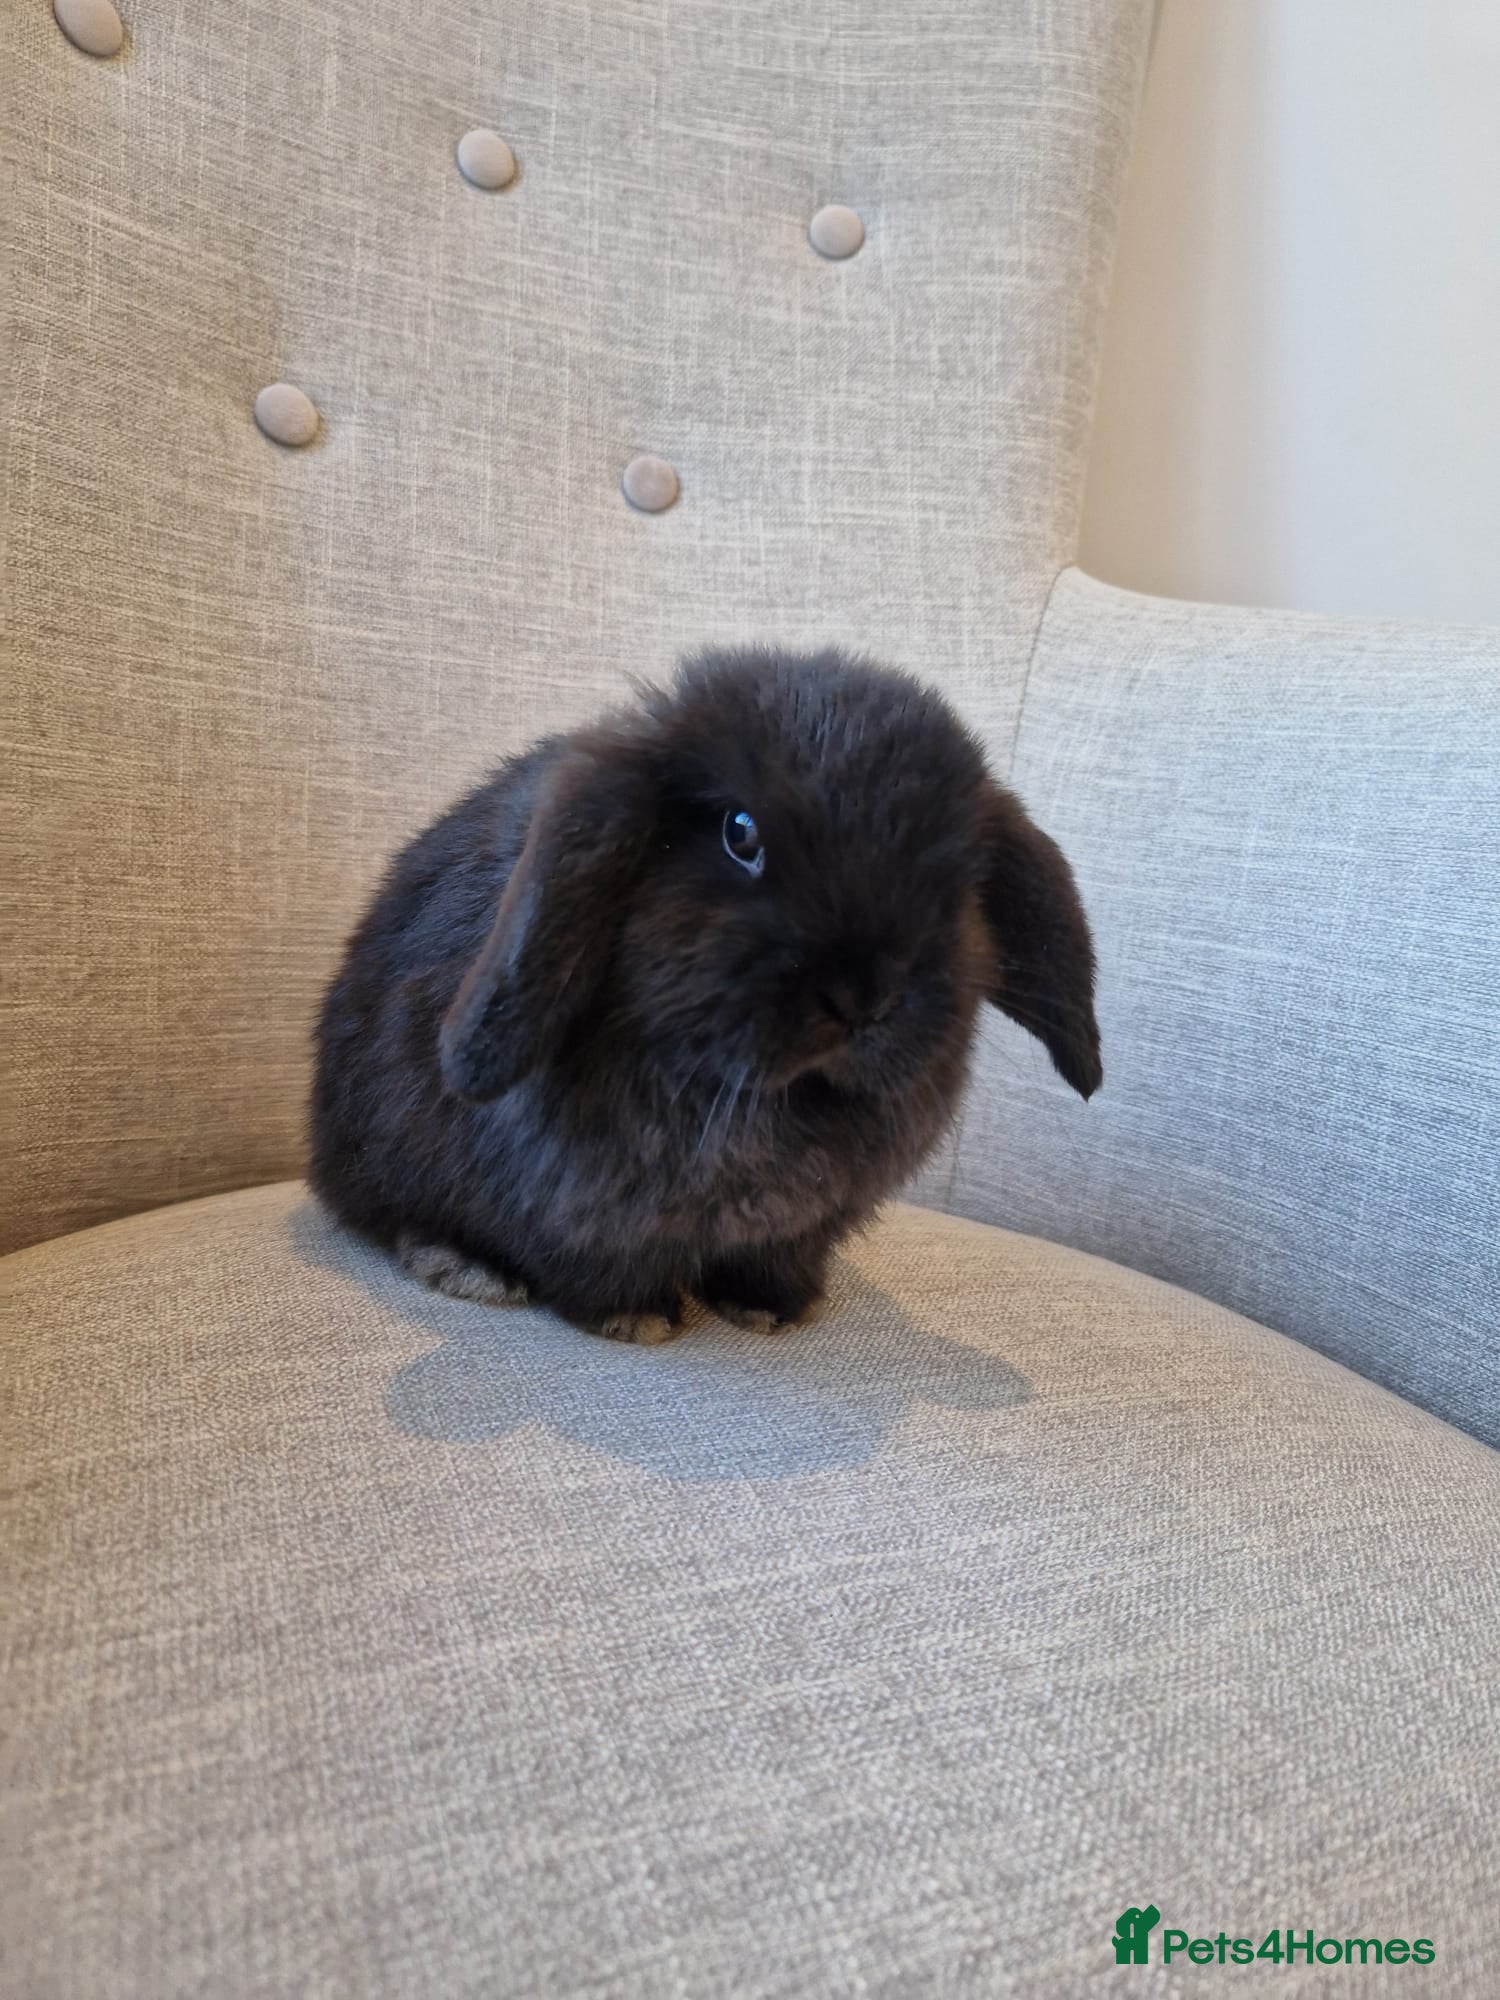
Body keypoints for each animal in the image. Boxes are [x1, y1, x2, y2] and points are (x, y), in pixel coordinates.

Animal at [309, 646, 1101, 1343]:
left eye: (961, 881)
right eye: (740, 833)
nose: (865, 997)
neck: (768, 1100)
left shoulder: (805, 1227)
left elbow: (776, 1264)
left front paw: (772, 1309)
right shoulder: (588, 1212)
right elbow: (598, 1269)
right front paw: (636, 1318)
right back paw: (468, 1266)